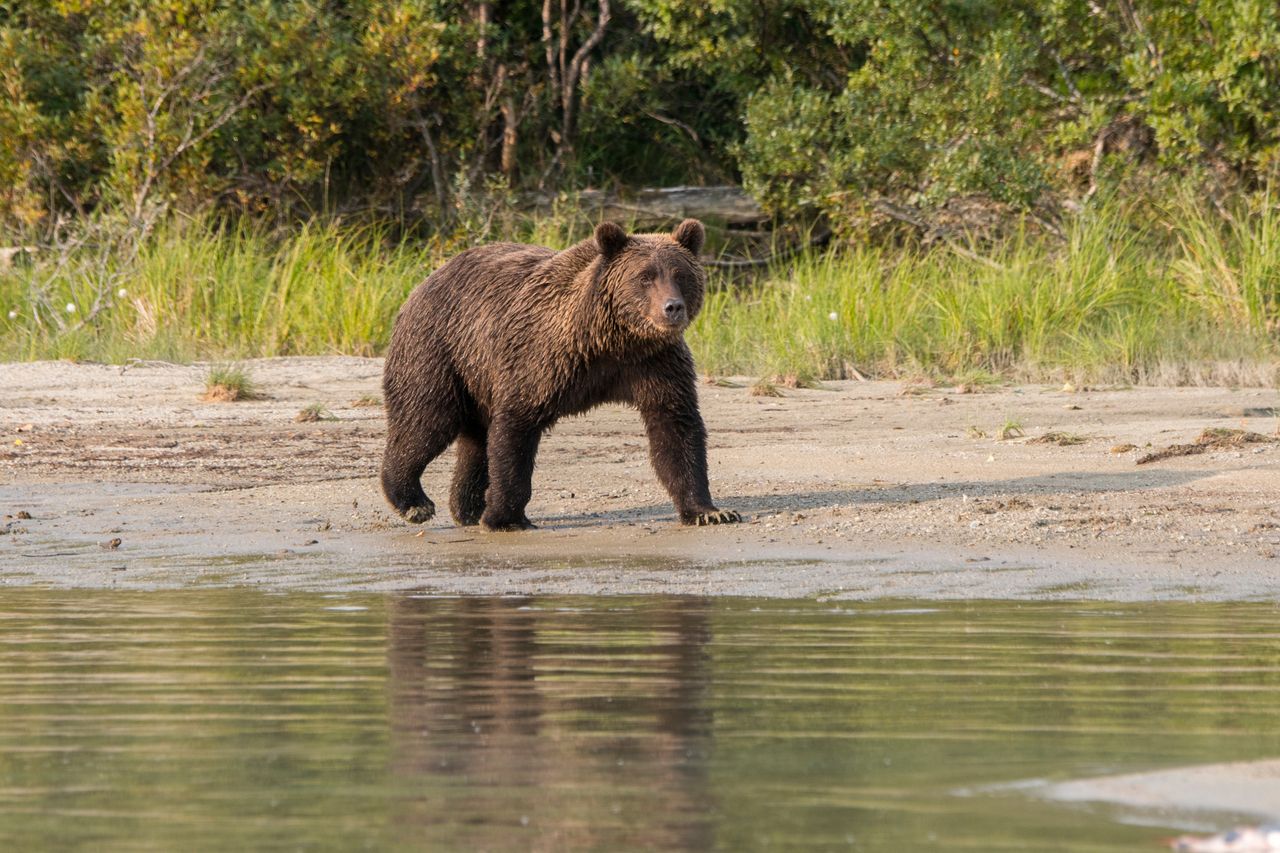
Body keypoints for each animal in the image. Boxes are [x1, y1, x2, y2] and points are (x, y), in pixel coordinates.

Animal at [378, 217, 742, 532]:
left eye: (680, 274)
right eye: (645, 276)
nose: (672, 307)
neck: (611, 340)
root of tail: (426, 281)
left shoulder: (655, 364)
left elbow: (676, 428)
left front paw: (710, 511)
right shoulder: (541, 359)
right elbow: (516, 429)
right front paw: (507, 517)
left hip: (477, 374)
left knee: (475, 440)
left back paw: (466, 508)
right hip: (440, 350)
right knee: (426, 420)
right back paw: (414, 502)